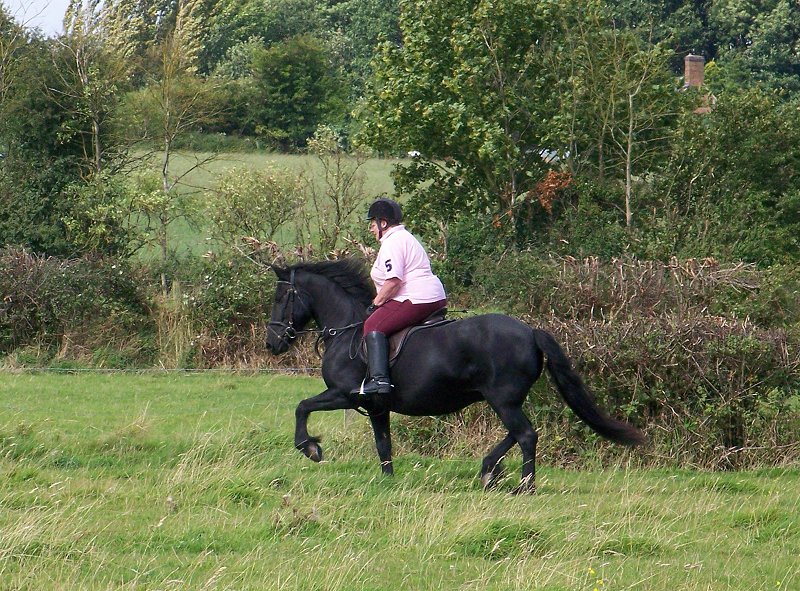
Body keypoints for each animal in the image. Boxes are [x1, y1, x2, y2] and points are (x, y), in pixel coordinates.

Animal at [266, 258, 644, 492]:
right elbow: (383, 444)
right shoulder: (377, 408)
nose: (272, 343)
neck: (348, 330)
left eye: (281, 296)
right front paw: (388, 482)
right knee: (517, 434)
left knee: (525, 435)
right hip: (504, 399)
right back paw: (489, 470)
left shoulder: (345, 393)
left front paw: (310, 448)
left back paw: (524, 486)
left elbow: (302, 407)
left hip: (502, 400)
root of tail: (530, 331)